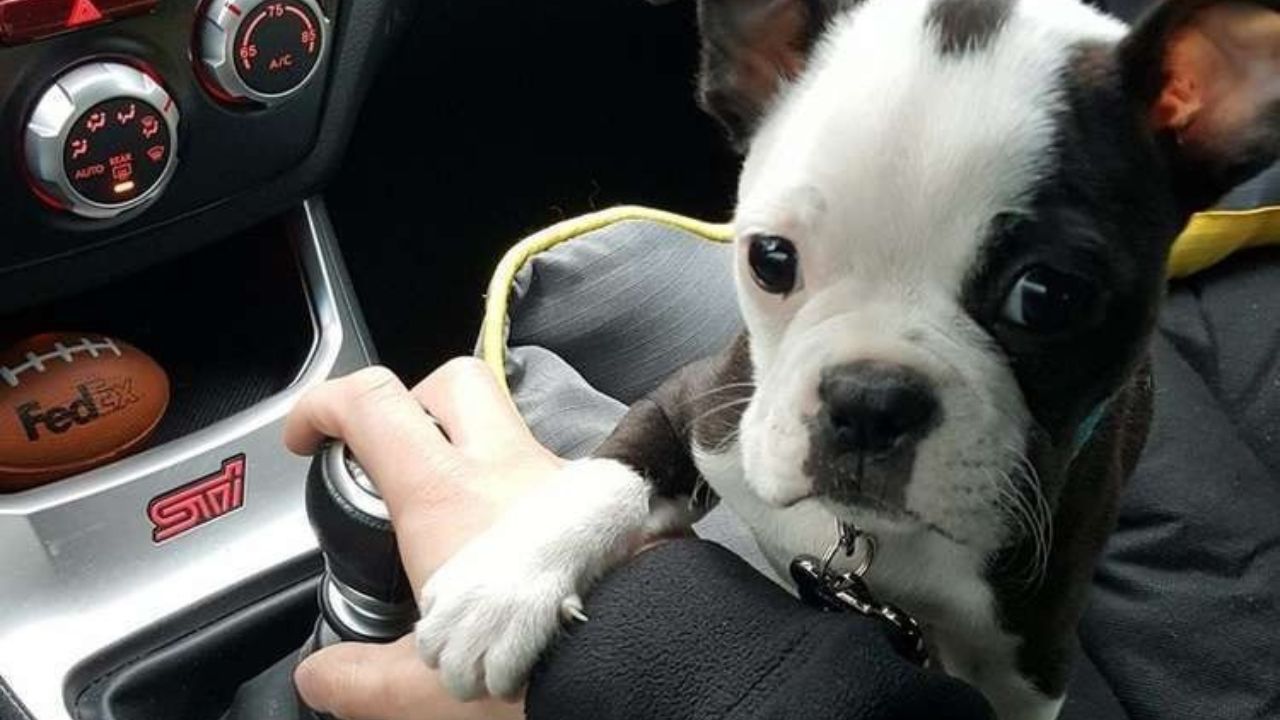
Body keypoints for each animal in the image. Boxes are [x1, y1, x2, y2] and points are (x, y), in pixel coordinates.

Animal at [417, 2, 1280, 712]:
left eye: (1047, 297)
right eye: (769, 258)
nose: (871, 399)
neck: (862, 536)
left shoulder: (1027, 662)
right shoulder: (705, 402)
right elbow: (616, 467)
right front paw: (505, 585)